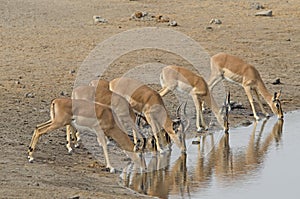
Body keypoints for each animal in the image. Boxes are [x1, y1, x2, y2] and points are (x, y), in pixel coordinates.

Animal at [27, 98, 156, 173]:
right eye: (141, 154)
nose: (145, 169)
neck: (109, 116)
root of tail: (55, 101)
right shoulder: (99, 131)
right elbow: (104, 146)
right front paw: (110, 167)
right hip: (58, 123)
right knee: (40, 131)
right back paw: (31, 157)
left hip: (54, 121)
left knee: (37, 127)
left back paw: (29, 153)